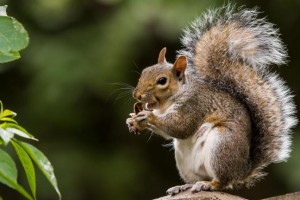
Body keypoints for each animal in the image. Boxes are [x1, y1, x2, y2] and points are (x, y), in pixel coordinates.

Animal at [125, 4, 296, 195]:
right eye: (145, 71)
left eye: (162, 81)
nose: (137, 95)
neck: (168, 103)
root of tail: (242, 170)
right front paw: (131, 120)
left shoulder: (194, 105)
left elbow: (179, 126)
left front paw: (148, 117)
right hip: (185, 161)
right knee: (198, 177)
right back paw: (185, 185)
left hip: (221, 146)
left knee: (223, 181)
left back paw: (209, 184)